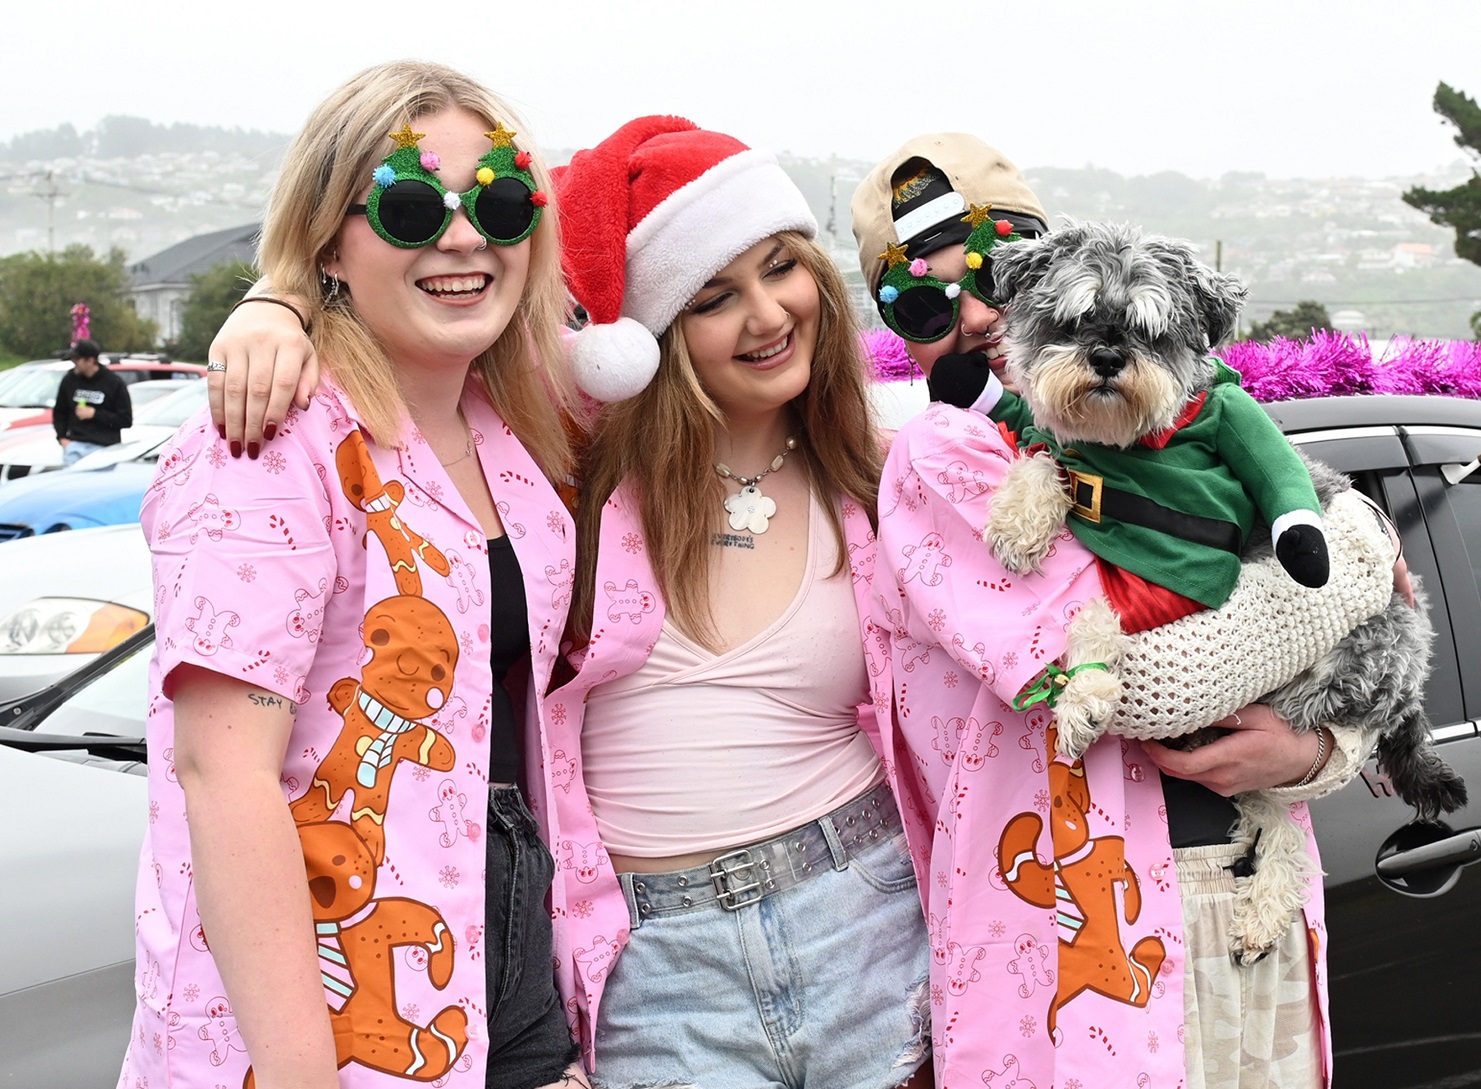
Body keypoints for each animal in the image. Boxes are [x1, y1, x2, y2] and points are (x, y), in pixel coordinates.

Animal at [977, 219, 1463, 960]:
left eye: (1151, 330)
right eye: (1076, 316)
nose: (1107, 358)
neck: (1132, 455)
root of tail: (1412, 677)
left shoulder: (1189, 576)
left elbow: (1098, 612)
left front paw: (1085, 697)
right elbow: (1043, 453)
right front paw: (1020, 516)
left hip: (1302, 693)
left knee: (1282, 815)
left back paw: (1263, 910)